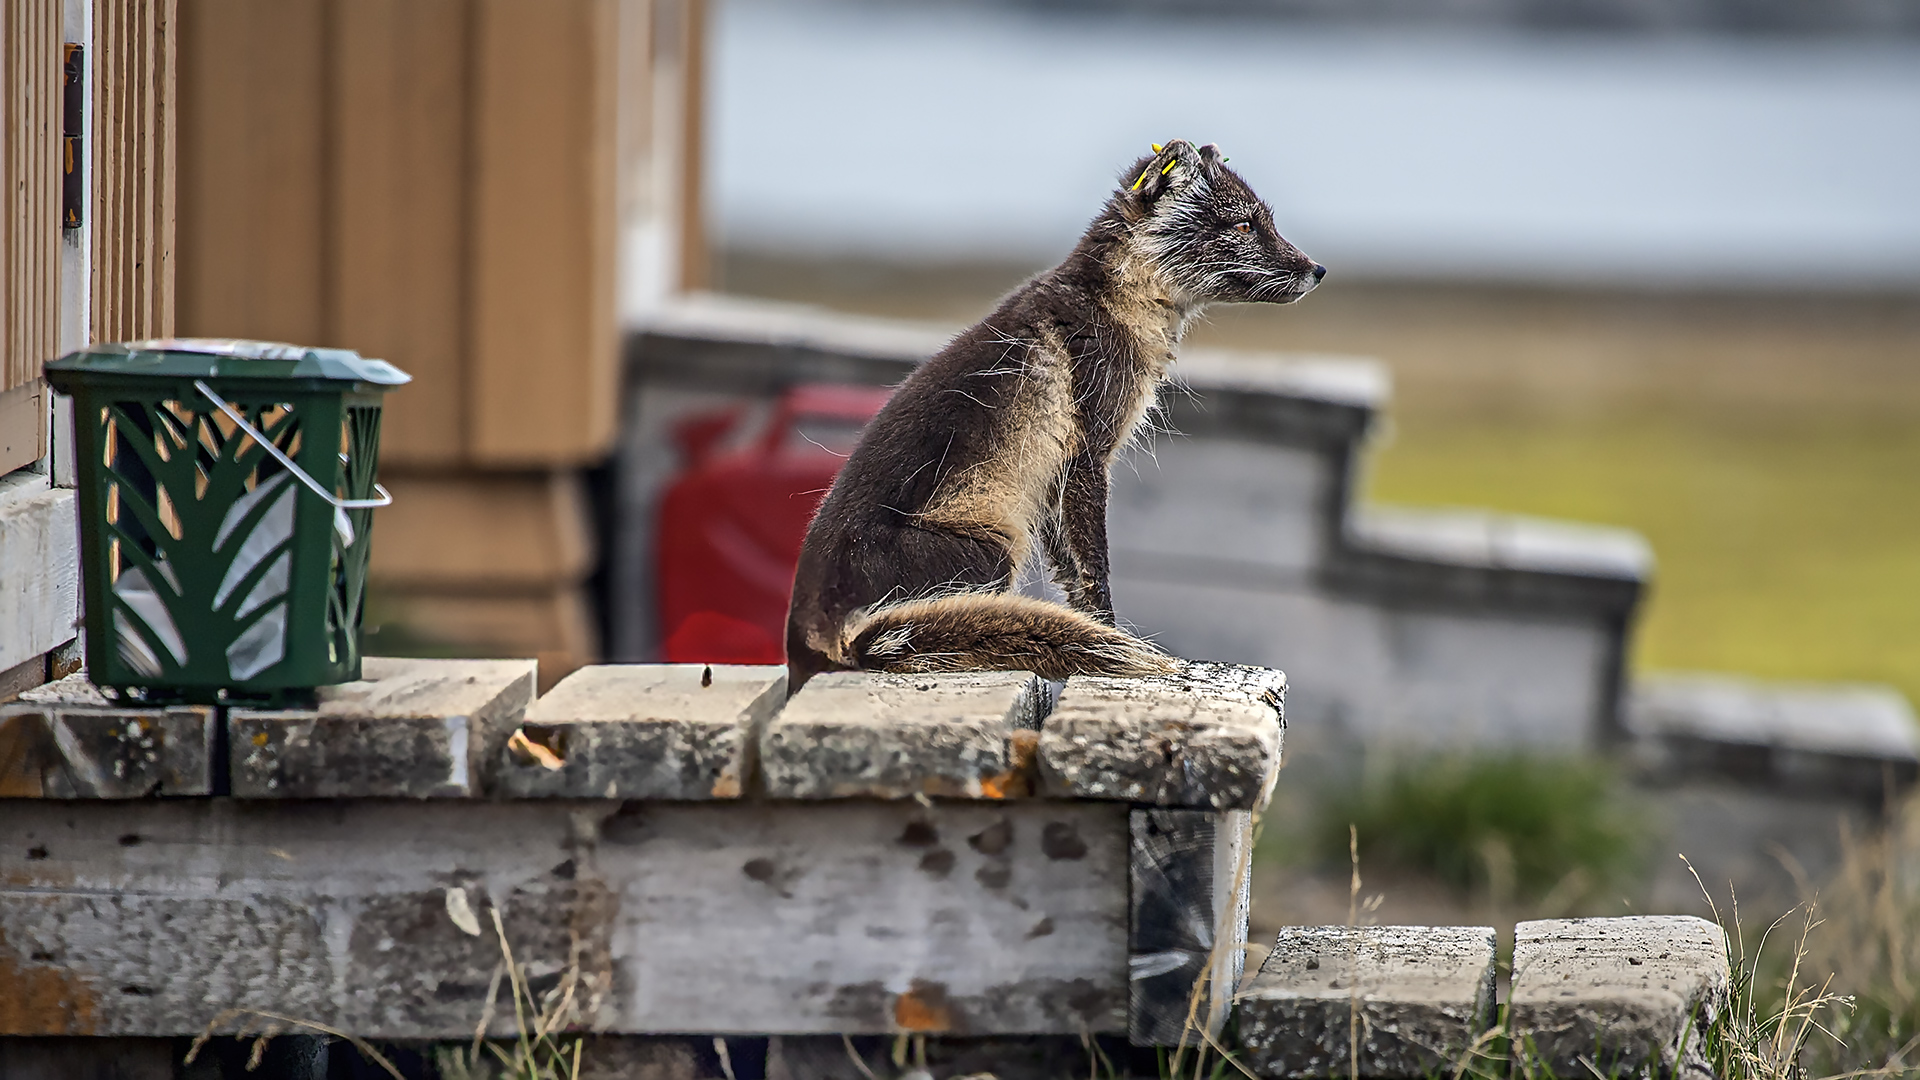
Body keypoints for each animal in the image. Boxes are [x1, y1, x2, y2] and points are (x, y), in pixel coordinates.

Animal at [784, 138, 1324, 691]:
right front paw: (1107, 630)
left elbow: (1068, 572)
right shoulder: (1088, 452)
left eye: (1268, 221)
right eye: (1243, 226)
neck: (1114, 302)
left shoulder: (1053, 480)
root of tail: (809, 634)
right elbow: (1093, 571)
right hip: (994, 554)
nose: (1318, 269)